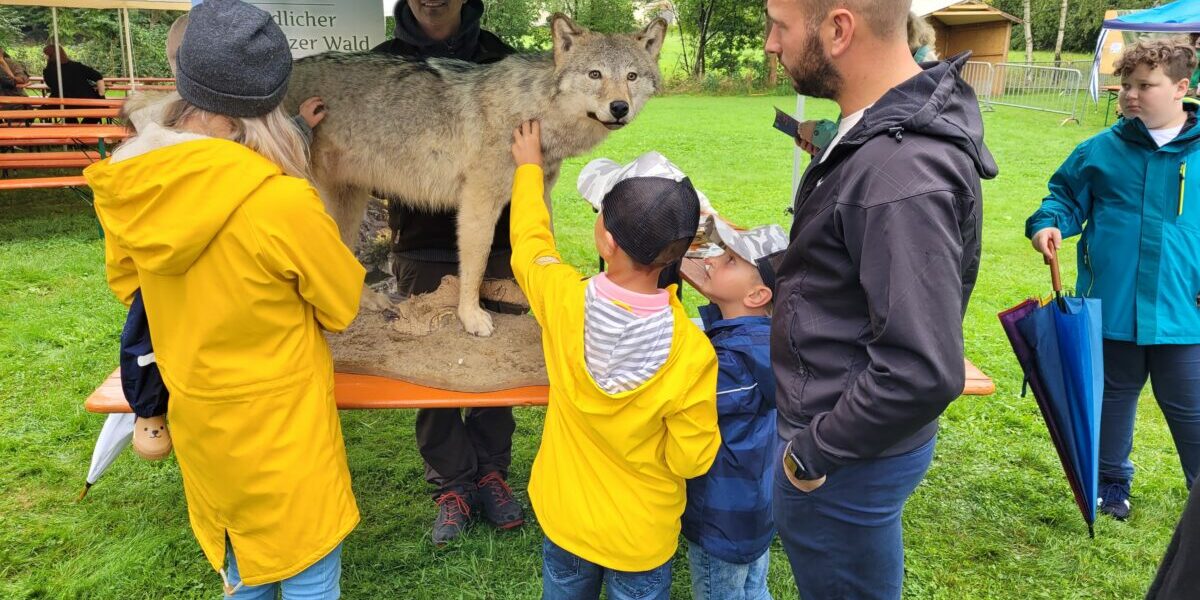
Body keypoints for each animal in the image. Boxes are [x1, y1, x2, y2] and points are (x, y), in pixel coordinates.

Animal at [285, 14, 667, 337]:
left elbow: (545, 245)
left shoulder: (540, 193)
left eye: (631, 77)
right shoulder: (479, 201)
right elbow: (477, 263)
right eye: (595, 74)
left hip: (349, 204)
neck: (532, 109)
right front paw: (471, 317)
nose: (619, 108)